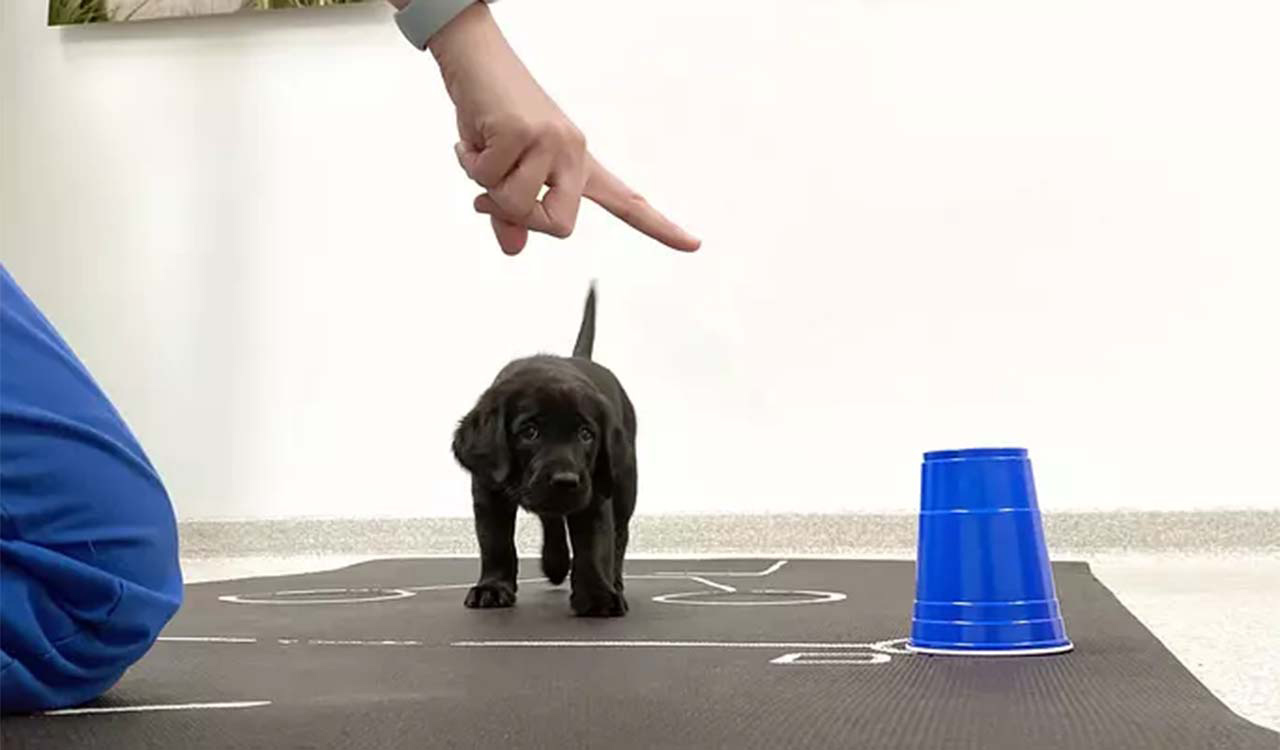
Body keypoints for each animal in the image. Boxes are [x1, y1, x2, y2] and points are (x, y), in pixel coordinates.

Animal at [455, 280, 640, 614]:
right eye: (529, 432)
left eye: (586, 434)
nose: (566, 481)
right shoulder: (488, 492)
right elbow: (496, 543)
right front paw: (492, 588)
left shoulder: (595, 492)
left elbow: (594, 545)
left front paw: (598, 594)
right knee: (551, 519)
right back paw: (555, 564)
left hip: (623, 484)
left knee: (619, 535)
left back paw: (614, 580)